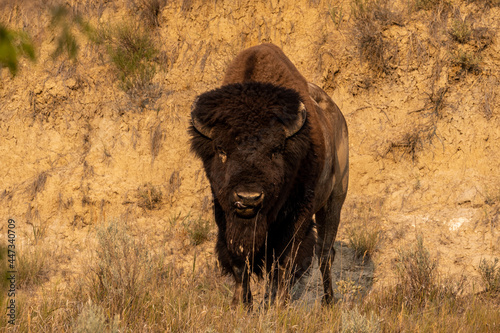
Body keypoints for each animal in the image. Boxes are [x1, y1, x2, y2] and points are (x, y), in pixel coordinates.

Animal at [188, 43, 348, 306]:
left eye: (275, 150)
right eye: (221, 150)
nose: (248, 198)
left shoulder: (298, 216)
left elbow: (285, 261)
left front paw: (279, 304)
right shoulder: (224, 213)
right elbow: (239, 262)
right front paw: (242, 304)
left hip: (334, 200)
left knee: (325, 253)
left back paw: (327, 302)